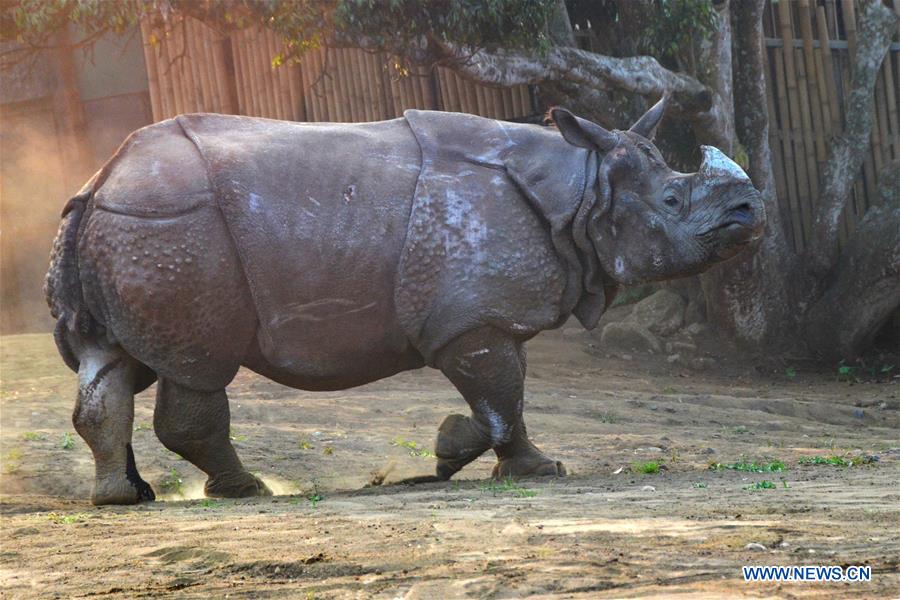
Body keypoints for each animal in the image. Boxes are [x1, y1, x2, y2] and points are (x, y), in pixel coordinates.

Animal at [45, 97, 764, 504]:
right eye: (672, 200)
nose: (752, 212)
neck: (583, 191)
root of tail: (102, 176)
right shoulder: (473, 321)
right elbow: (502, 401)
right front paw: (486, 460)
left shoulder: (476, 319)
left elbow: (508, 403)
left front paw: (517, 466)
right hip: (175, 228)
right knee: (199, 367)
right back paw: (244, 490)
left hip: (138, 226)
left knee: (114, 363)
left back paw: (125, 498)